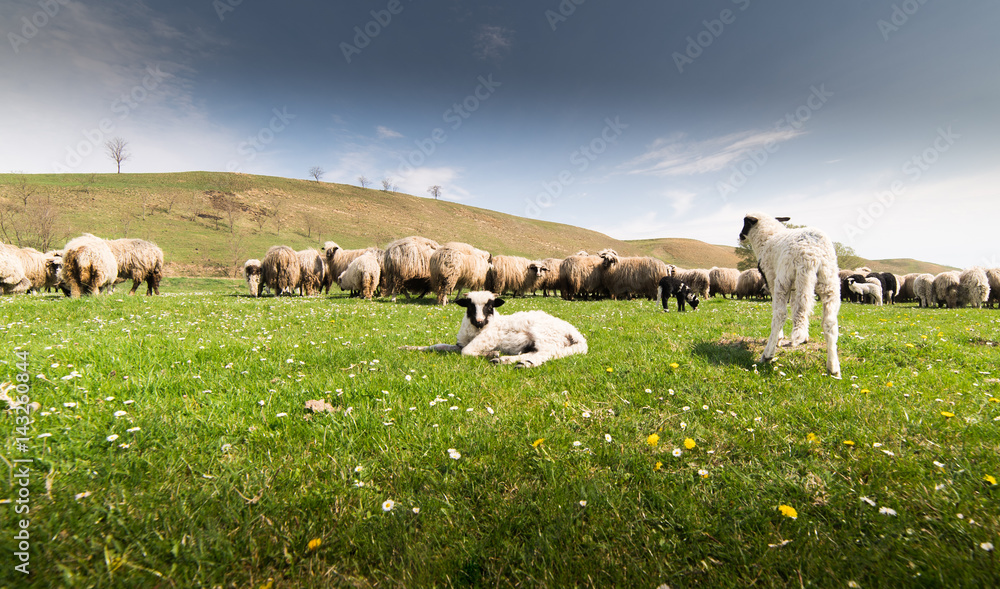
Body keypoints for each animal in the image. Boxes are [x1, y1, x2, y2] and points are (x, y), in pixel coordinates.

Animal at [400, 290, 587, 367]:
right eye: (470, 306)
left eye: (489, 307)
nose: (479, 321)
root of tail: (575, 333)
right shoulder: (460, 344)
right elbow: (438, 346)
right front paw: (409, 347)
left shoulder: (486, 339)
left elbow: (466, 352)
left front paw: (491, 353)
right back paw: (507, 360)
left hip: (544, 334)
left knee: (548, 353)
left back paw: (524, 363)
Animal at [738, 213, 841, 378]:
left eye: (745, 223)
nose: (740, 236)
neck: (768, 237)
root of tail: (812, 255)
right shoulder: (794, 288)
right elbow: (795, 308)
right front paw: (804, 337)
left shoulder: (771, 278)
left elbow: (781, 311)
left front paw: (779, 338)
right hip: (829, 282)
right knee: (829, 322)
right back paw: (833, 367)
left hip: (784, 278)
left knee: (780, 314)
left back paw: (767, 355)